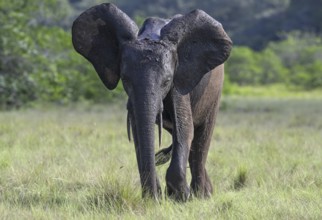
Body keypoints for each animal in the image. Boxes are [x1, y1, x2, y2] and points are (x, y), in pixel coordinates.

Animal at [71, 2, 231, 201]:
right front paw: (156, 198)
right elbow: (138, 133)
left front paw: (180, 197)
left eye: (167, 81)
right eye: (125, 79)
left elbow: (184, 129)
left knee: (201, 139)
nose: (155, 196)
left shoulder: (180, 80)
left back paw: (202, 195)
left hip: (215, 91)